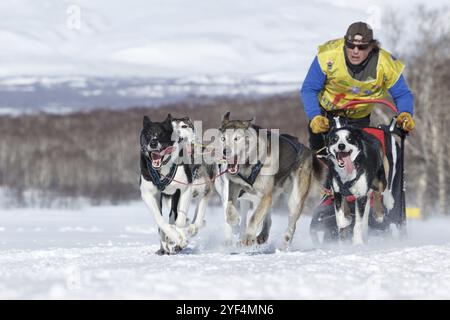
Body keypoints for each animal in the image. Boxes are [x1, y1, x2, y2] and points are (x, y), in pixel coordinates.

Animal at [220, 112, 322, 248]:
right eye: (223, 139)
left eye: (237, 138)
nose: (225, 151)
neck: (248, 165)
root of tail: (306, 149)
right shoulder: (234, 186)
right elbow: (230, 206)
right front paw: (235, 222)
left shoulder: (264, 194)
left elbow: (255, 217)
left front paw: (248, 237)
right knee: (268, 216)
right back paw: (263, 235)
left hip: (294, 199)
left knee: (291, 225)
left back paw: (284, 244)